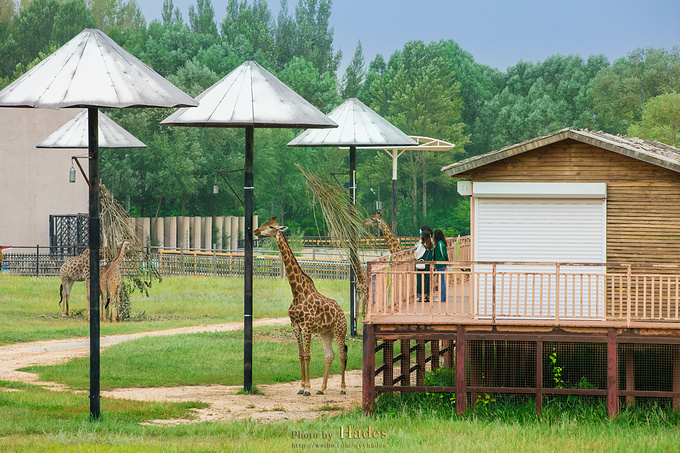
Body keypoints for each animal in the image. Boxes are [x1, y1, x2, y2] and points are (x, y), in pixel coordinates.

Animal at [254, 217, 348, 394]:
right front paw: (302, 387)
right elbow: (300, 354)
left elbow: (308, 355)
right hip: (326, 333)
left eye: (271, 226)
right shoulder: (295, 325)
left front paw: (307, 388)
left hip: (340, 330)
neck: (297, 292)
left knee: (341, 355)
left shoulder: (307, 325)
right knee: (329, 355)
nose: (256, 231)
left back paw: (342, 388)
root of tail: (342, 312)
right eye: (264, 223)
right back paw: (322, 388)